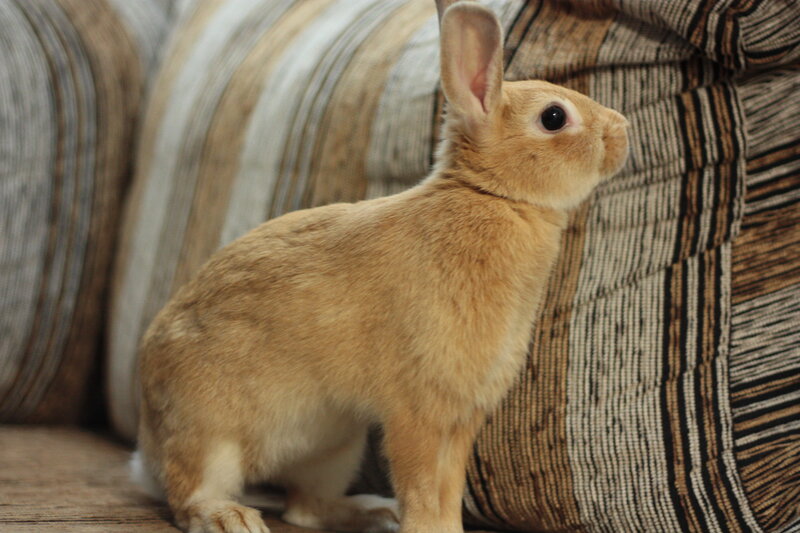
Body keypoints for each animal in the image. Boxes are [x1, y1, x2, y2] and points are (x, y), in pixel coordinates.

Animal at [132, 1, 629, 532]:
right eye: (554, 117)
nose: (623, 130)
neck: (495, 196)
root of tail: (147, 442)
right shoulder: (418, 406)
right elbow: (423, 484)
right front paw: (428, 528)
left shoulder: (462, 415)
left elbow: (448, 487)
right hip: (210, 435)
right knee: (191, 492)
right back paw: (231, 517)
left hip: (335, 446)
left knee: (306, 507)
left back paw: (371, 511)